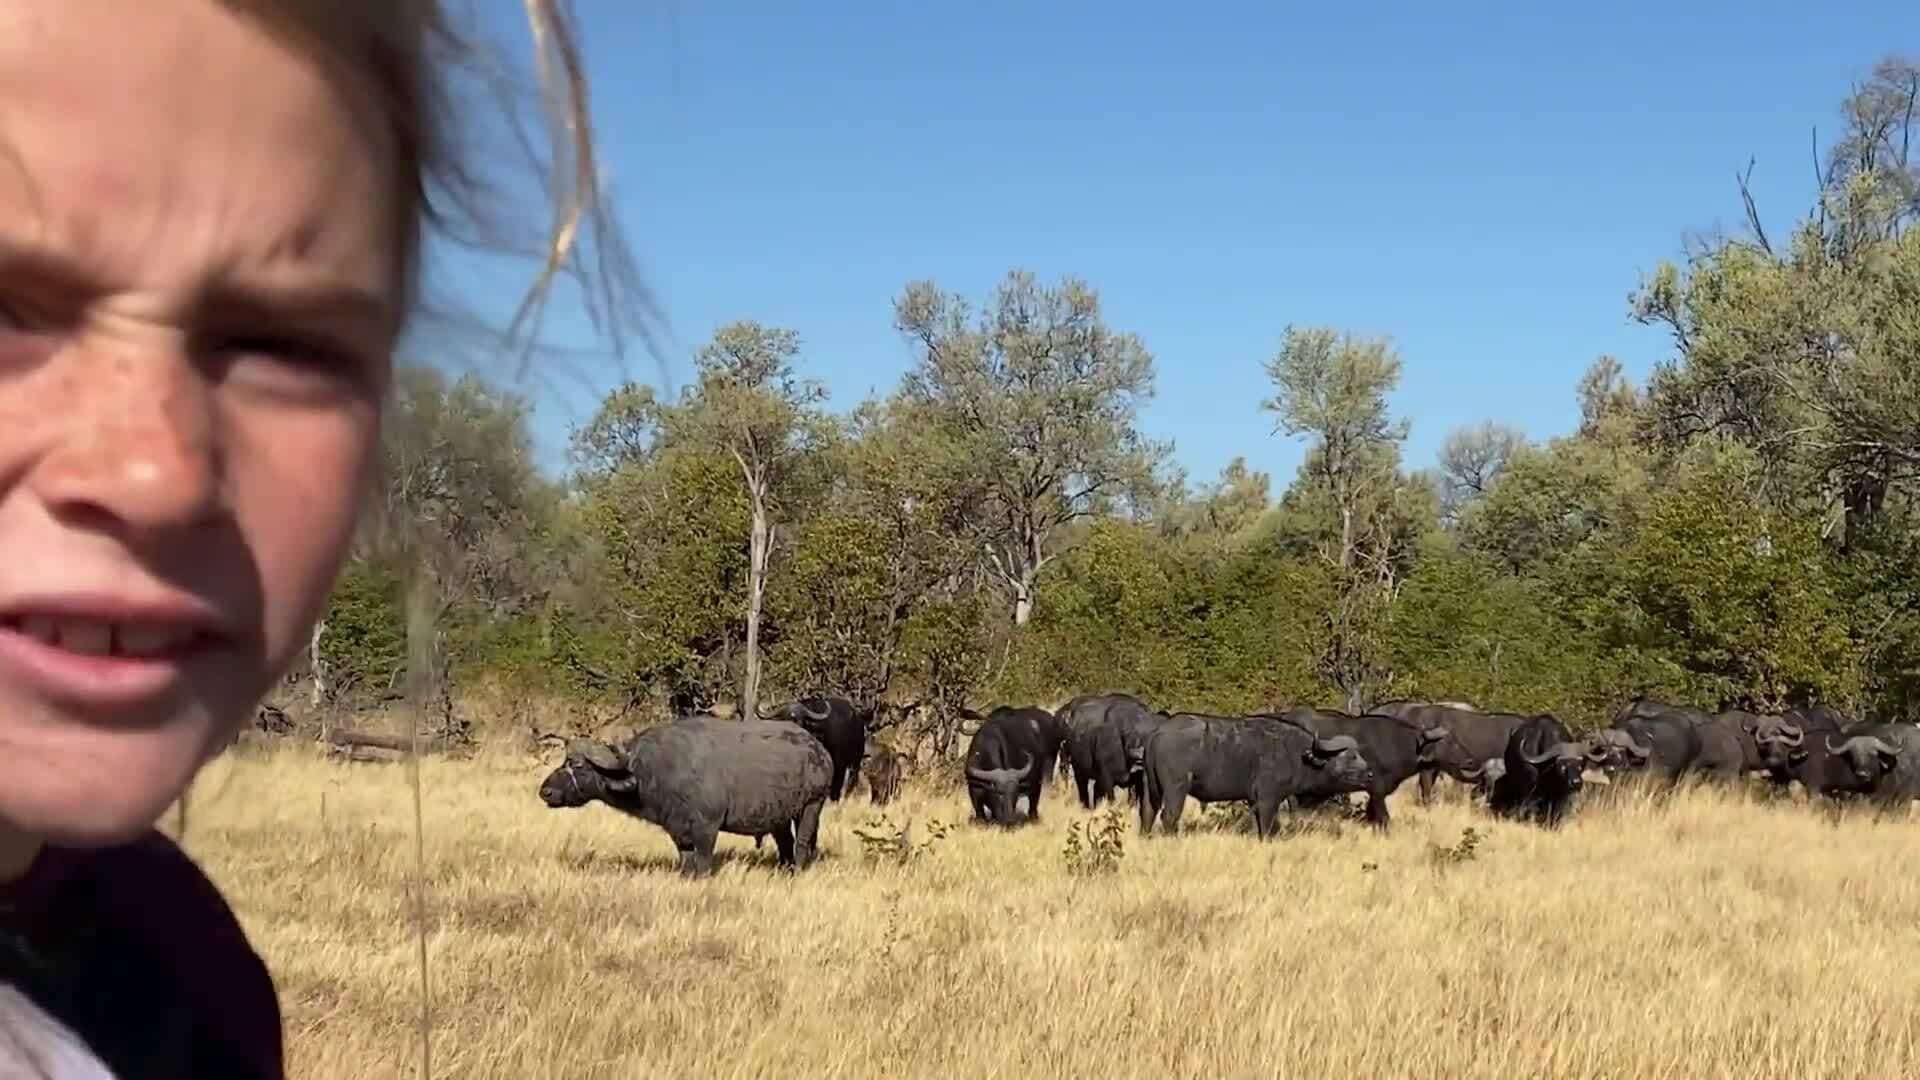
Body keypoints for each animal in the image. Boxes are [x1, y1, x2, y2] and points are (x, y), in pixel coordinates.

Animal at [538, 717, 833, 876]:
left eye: (577, 764)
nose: (545, 791)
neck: (654, 769)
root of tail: (818, 748)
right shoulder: (677, 829)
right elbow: (686, 861)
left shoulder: (707, 828)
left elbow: (702, 862)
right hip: (778, 816)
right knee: (785, 843)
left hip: (812, 805)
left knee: (802, 842)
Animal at [1139, 713, 1372, 838]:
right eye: (1351, 756)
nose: (1369, 774)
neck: (1295, 753)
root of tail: (1158, 732)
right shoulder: (1269, 799)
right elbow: (1269, 829)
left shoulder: (1255, 801)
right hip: (1176, 788)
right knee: (1169, 817)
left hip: (1150, 787)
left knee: (1147, 813)